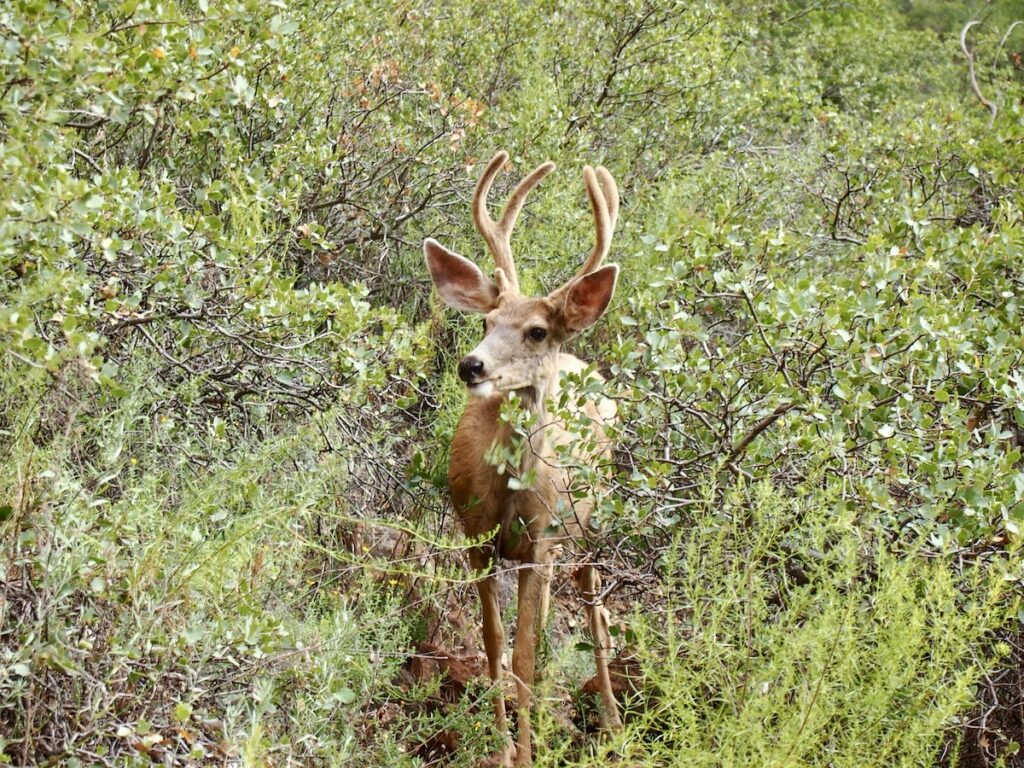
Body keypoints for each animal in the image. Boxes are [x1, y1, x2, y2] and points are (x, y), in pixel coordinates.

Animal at [423, 151, 622, 768]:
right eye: (487, 322)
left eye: (536, 331)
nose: (472, 365)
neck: (511, 488)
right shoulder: (475, 534)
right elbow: (495, 645)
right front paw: (501, 747)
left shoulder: (543, 542)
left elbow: (528, 655)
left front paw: (527, 754)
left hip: (591, 523)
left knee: (596, 607)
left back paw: (612, 720)